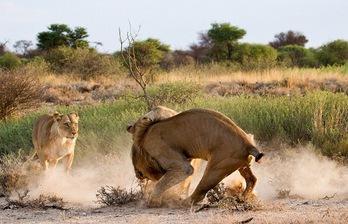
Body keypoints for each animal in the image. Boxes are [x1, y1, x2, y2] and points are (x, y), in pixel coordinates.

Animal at [128, 108, 264, 205]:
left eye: (138, 169)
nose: (138, 175)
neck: (144, 136)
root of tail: (248, 144)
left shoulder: (181, 165)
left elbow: (162, 184)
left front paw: (153, 201)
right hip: (242, 165)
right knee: (252, 179)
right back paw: (242, 198)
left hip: (215, 168)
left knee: (199, 193)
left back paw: (182, 203)